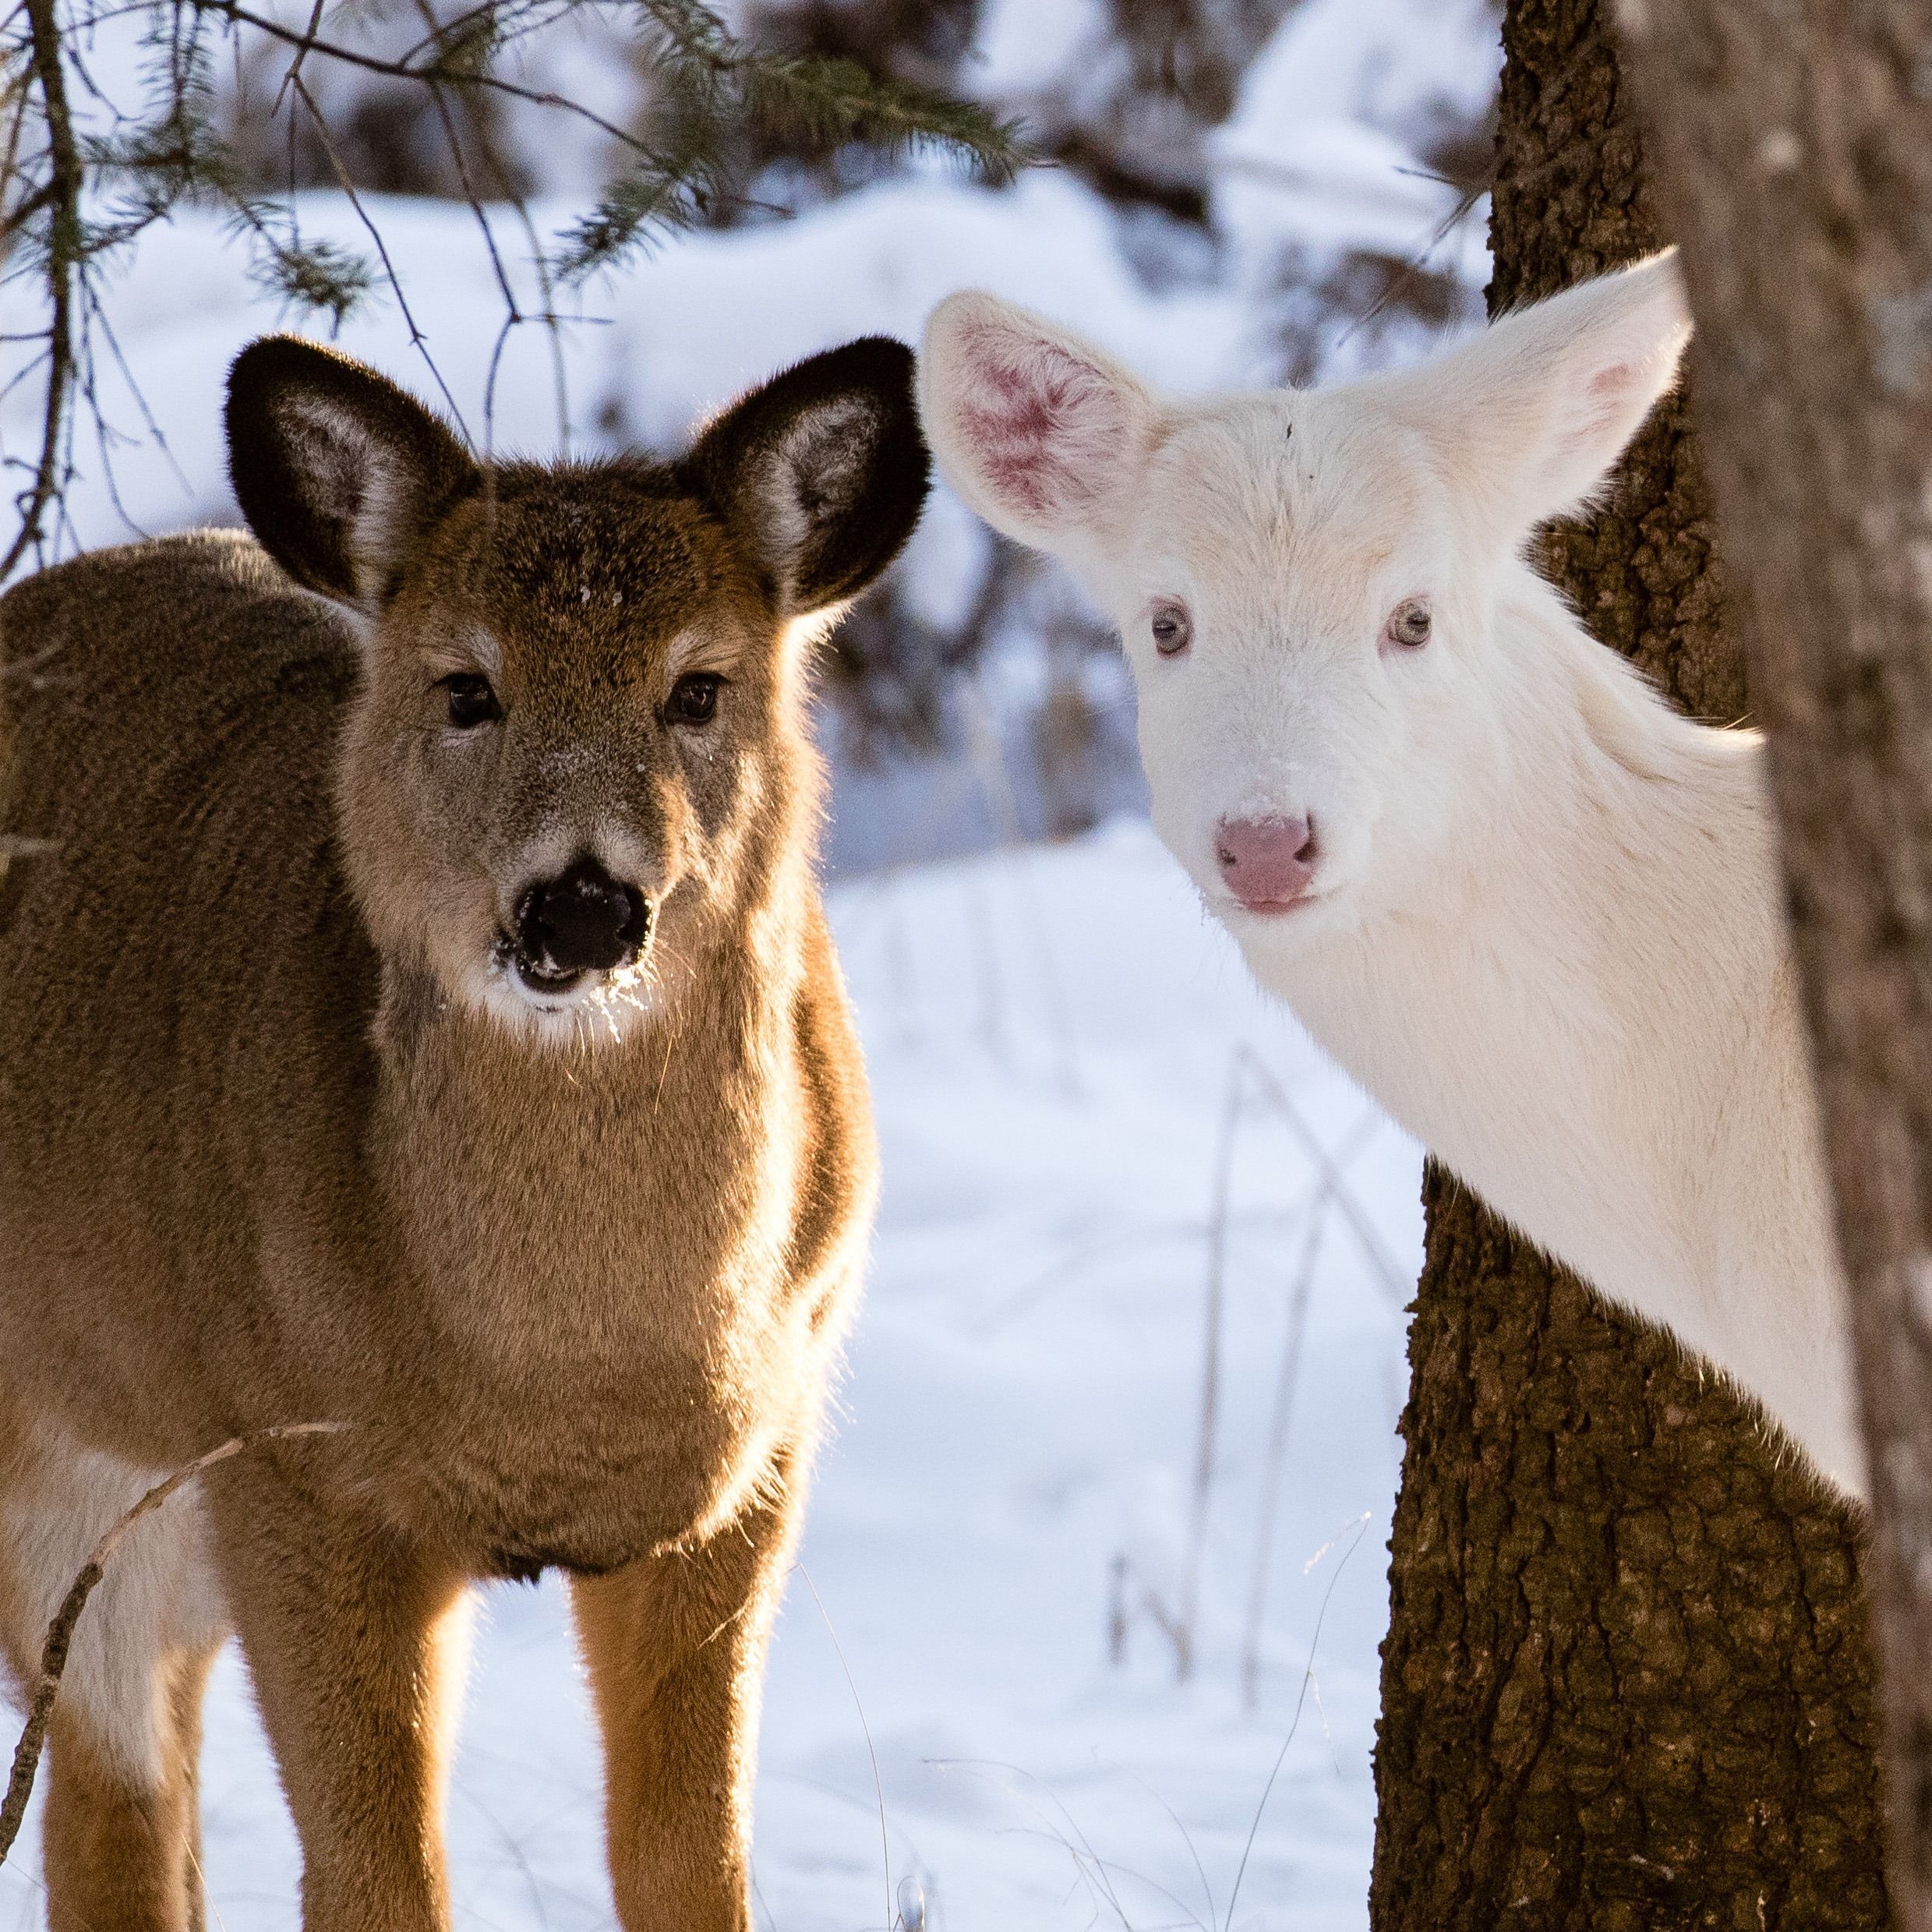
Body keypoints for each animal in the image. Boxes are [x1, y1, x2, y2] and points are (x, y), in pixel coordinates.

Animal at [0, 328, 926, 1931]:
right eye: (464, 687)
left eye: (699, 687)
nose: (581, 903)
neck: (561, 1378)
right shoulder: (300, 1469)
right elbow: (379, 1876)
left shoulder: (743, 1474)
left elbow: (692, 1865)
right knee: (114, 1801)